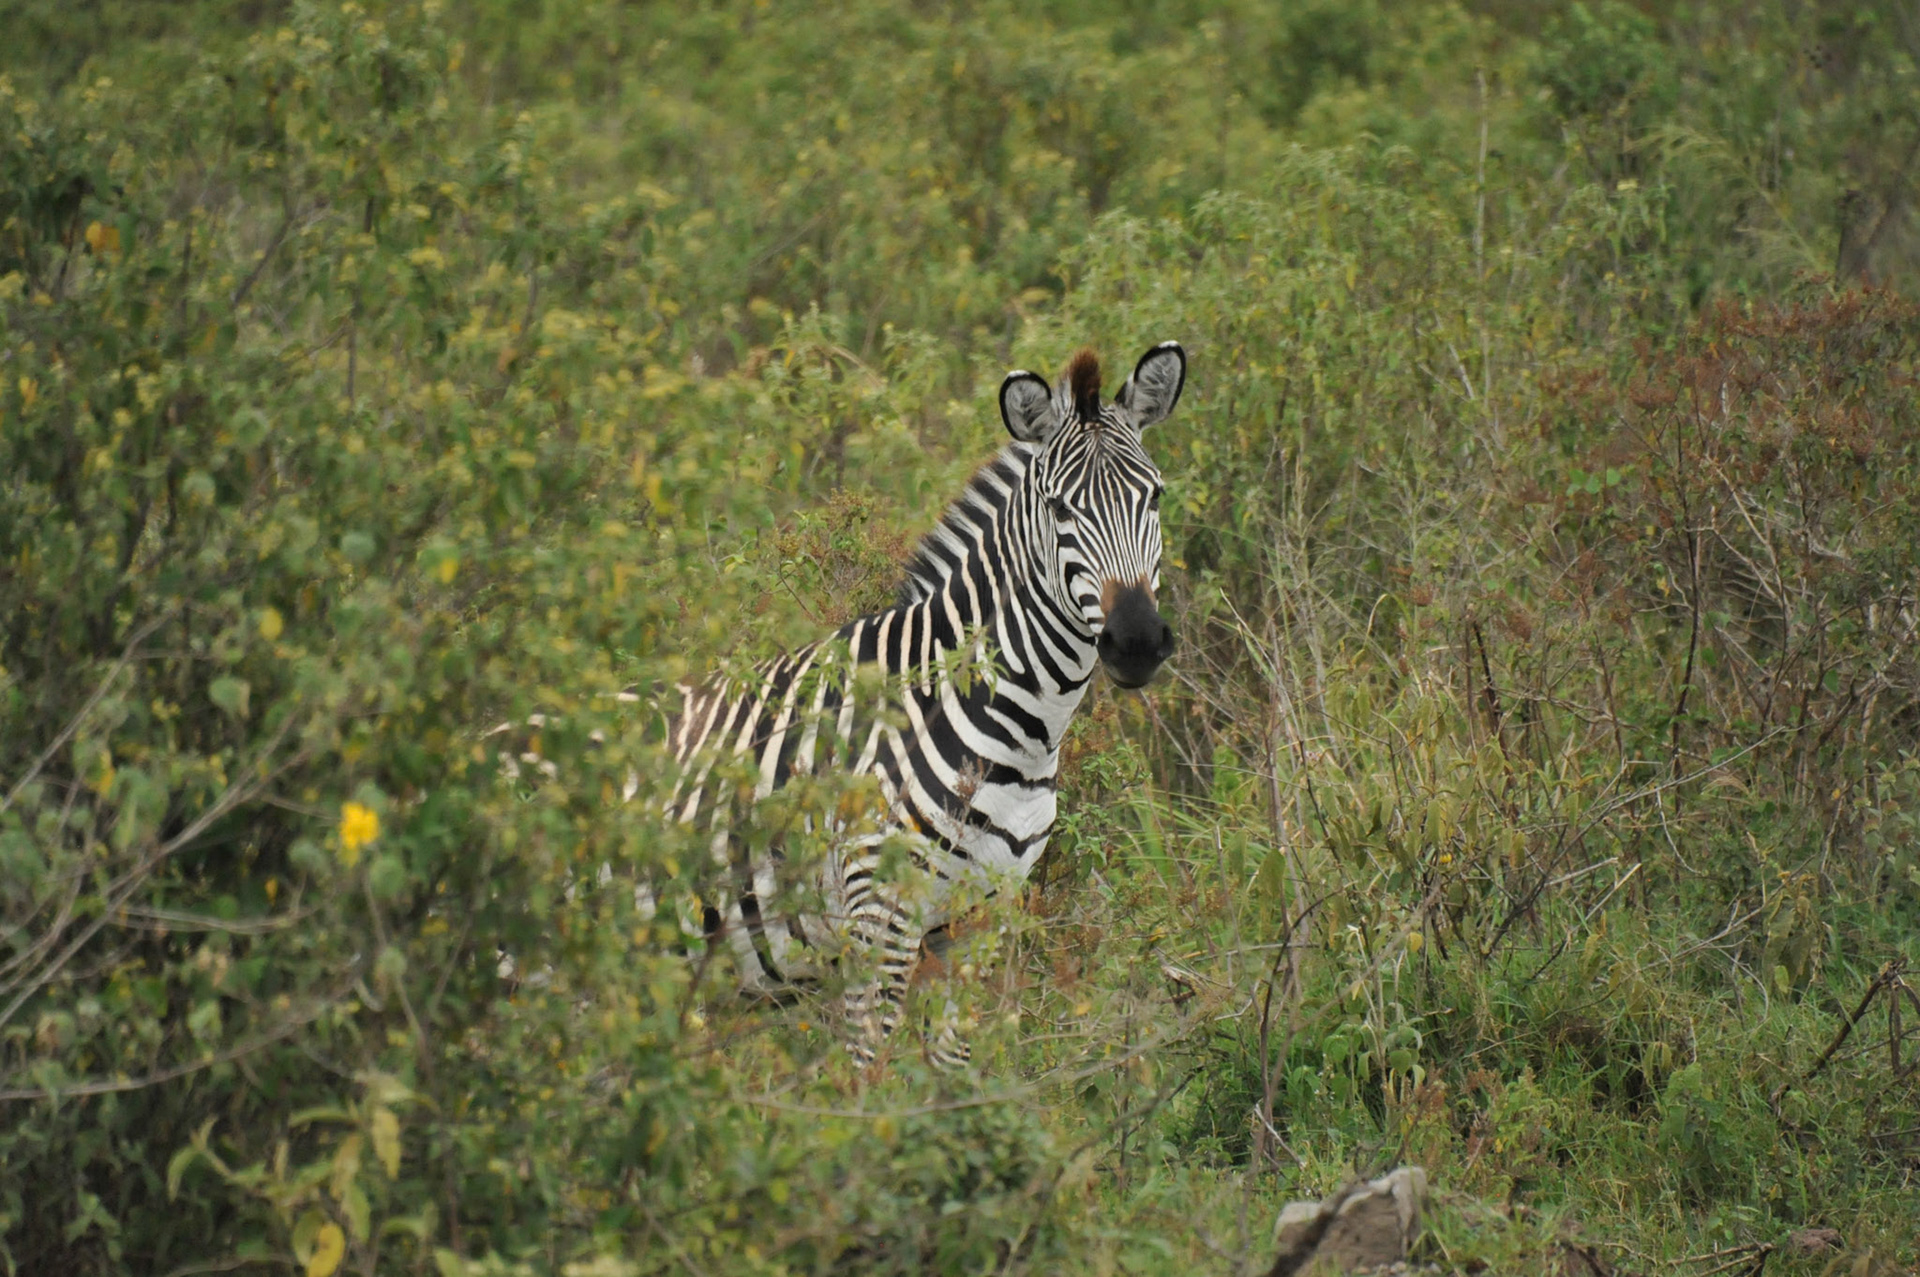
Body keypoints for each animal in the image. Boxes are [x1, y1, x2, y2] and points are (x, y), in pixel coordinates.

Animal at [505, 342, 1186, 1066]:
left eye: (1155, 495)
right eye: (1059, 509)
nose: (1136, 641)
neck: (1016, 732)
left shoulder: (976, 924)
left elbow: (957, 1081)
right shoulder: (878, 920)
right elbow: (871, 1083)